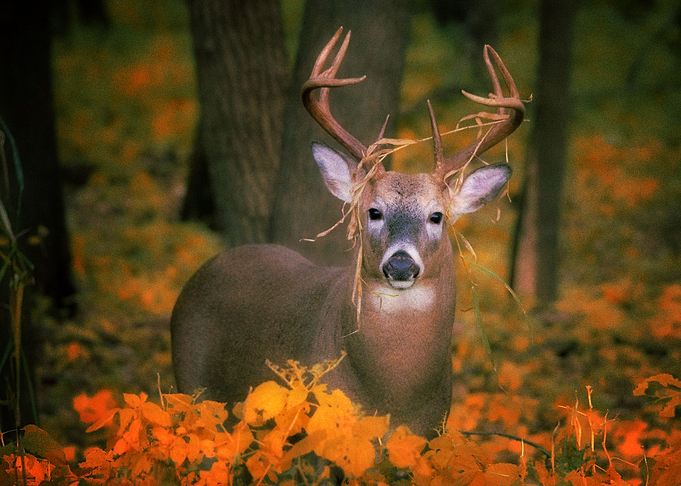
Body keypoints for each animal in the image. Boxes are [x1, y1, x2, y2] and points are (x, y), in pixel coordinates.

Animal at [171, 27, 525, 439]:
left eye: (436, 216)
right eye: (374, 211)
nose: (400, 265)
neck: (395, 394)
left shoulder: (429, 434)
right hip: (192, 386)